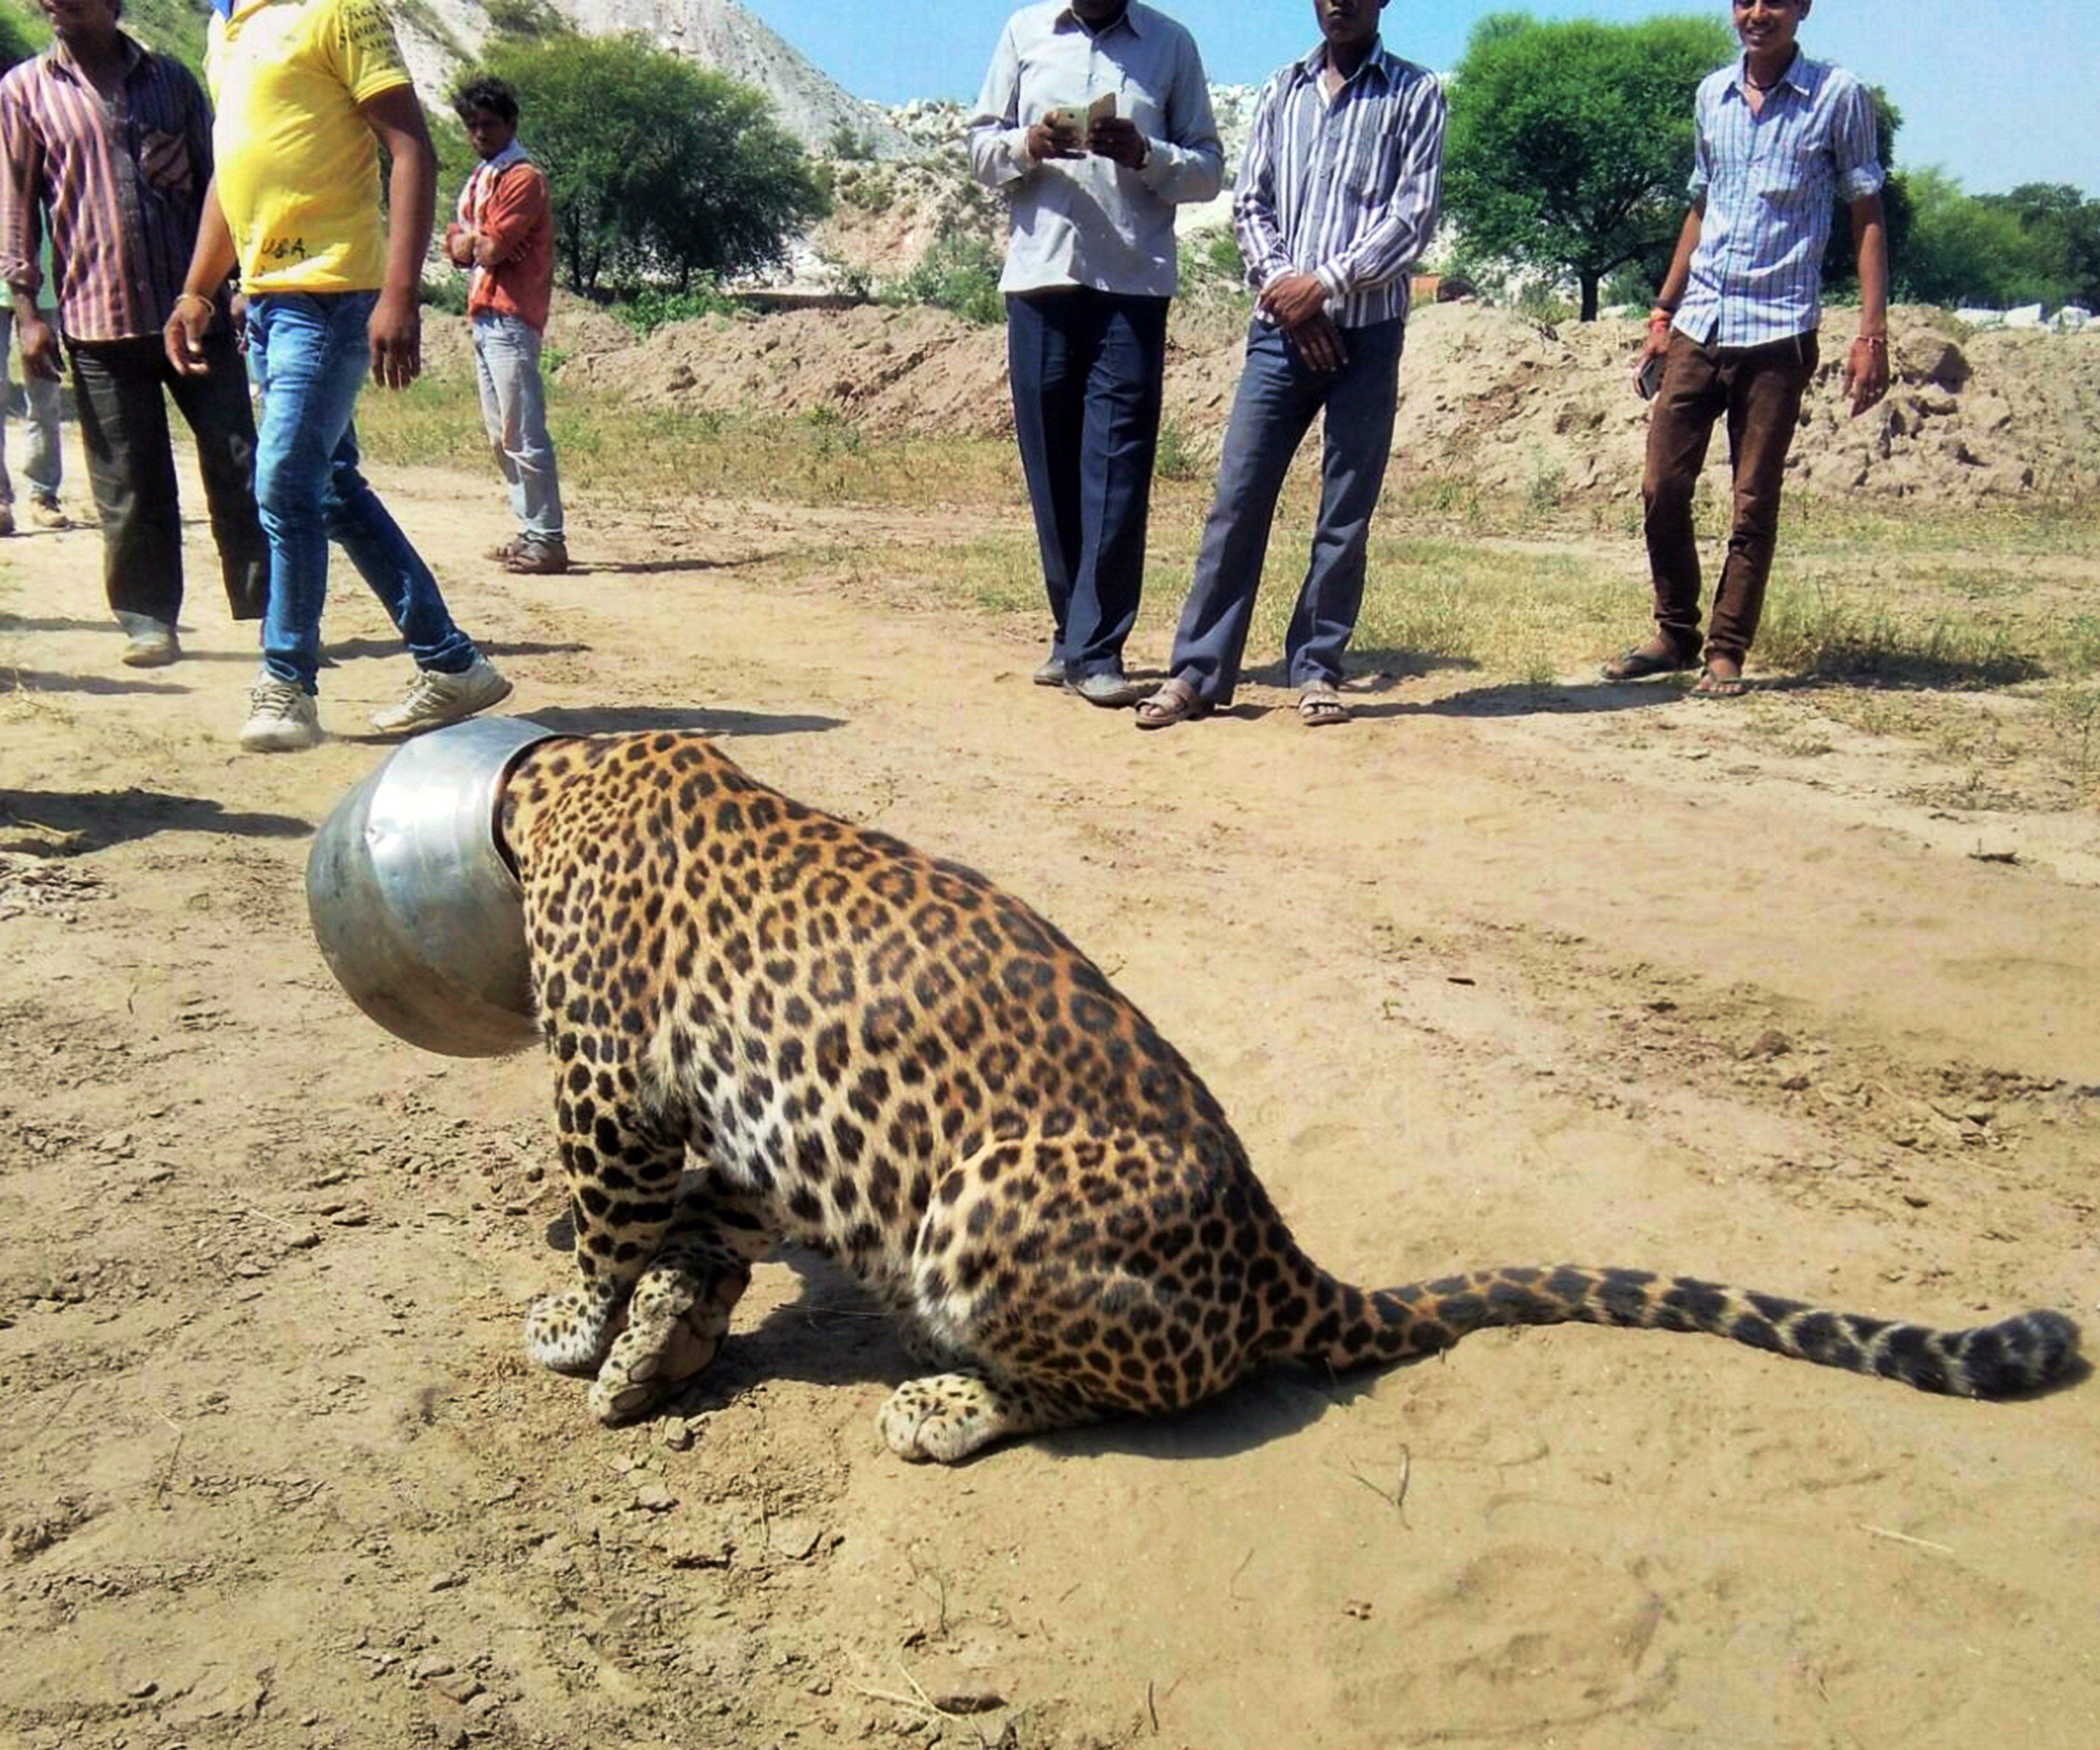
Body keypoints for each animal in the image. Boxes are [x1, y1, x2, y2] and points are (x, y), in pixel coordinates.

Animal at [494, 731, 2079, 1463]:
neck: (580, 769)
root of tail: (1278, 1254)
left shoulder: (604, 1083)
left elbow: (603, 1219)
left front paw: (574, 1325)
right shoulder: (738, 1129)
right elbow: (701, 1221)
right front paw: (658, 1337)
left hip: (987, 1199)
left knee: (1104, 1388)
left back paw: (942, 1403)